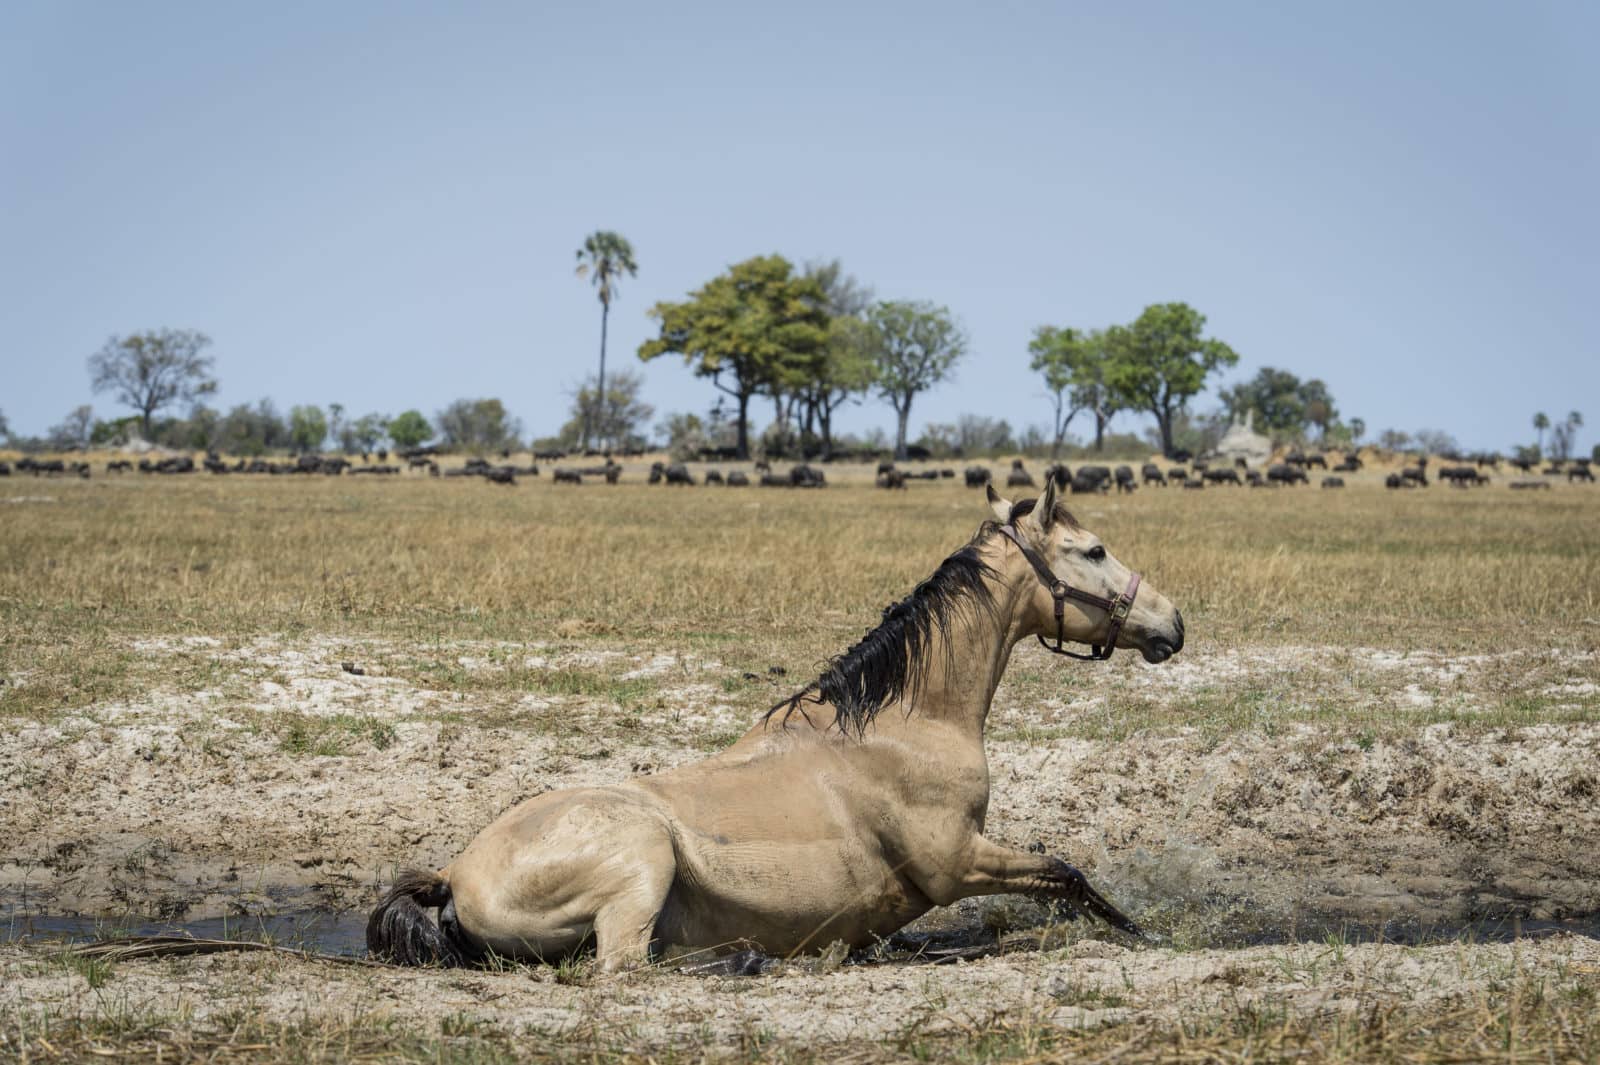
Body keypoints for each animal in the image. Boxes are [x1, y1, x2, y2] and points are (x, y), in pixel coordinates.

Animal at [367, 479, 1185, 973]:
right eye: (1094, 550)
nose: (1172, 622)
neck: (905, 723)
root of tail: (452, 874)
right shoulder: (955, 862)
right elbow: (1069, 874)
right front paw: (1150, 932)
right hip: (643, 859)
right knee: (626, 966)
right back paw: (751, 958)